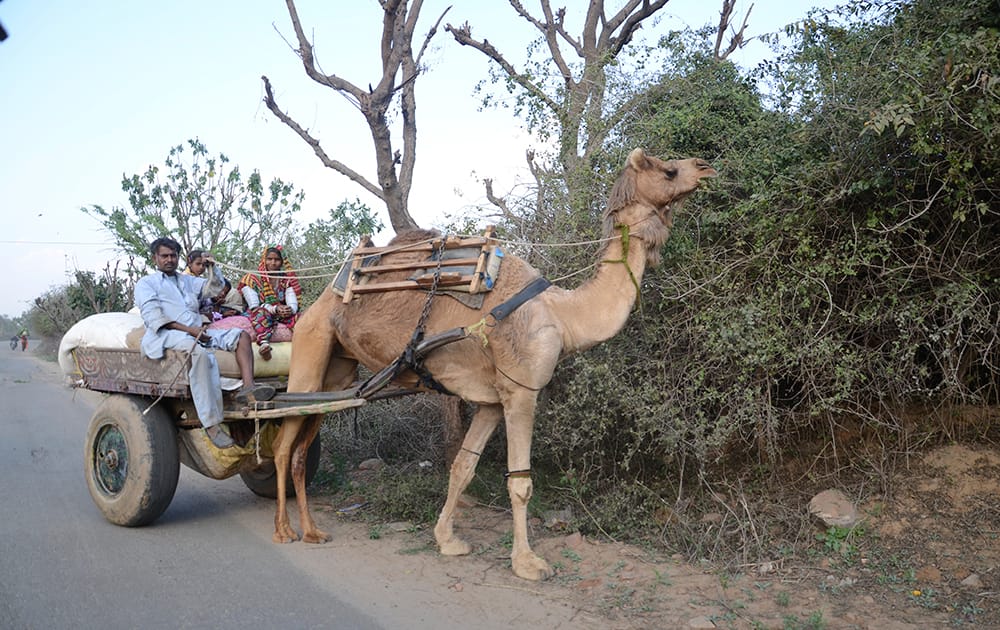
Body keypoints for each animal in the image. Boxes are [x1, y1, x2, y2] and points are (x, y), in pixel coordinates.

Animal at [270, 148, 716, 584]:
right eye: (668, 170)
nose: (705, 167)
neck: (563, 316)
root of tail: (322, 298)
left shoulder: (490, 401)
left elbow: (463, 466)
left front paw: (447, 539)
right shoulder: (522, 390)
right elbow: (520, 482)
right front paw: (528, 563)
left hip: (337, 372)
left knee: (301, 447)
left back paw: (312, 531)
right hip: (310, 349)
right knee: (282, 443)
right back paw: (284, 530)